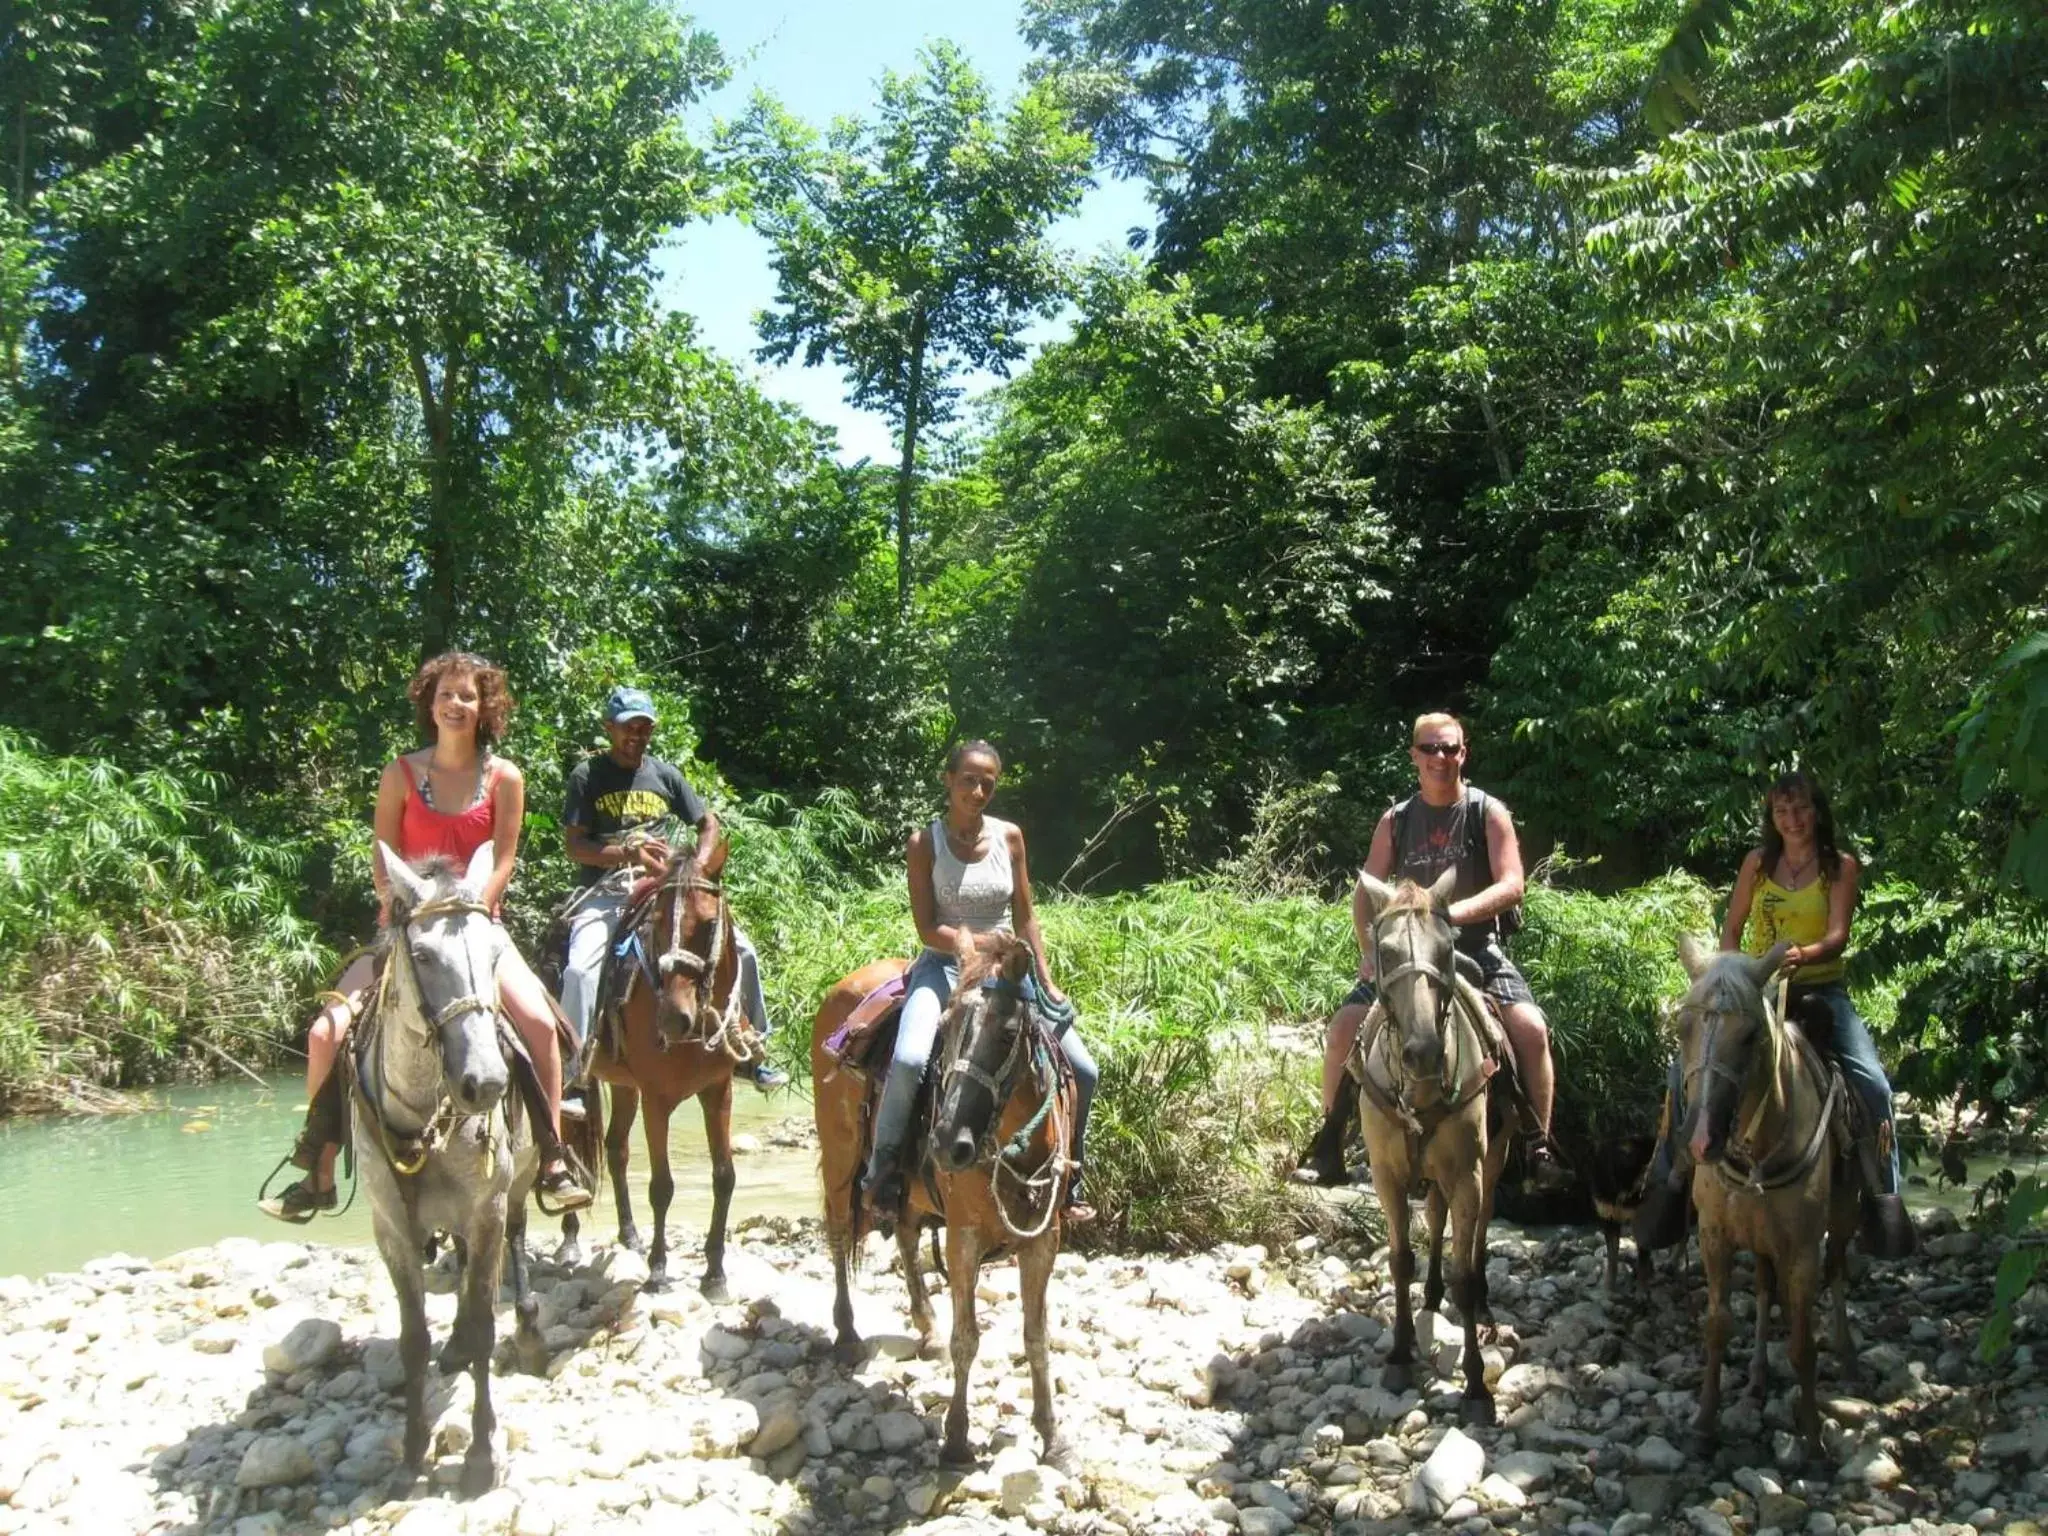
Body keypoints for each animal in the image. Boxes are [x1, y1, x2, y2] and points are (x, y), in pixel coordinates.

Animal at [585, 843, 753, 1302]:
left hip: (624, 1087)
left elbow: (725, 1177)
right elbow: (662, 1187)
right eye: (655, 923)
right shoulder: (656, 1098)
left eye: (710, 923)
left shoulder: (718, 1090)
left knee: (616, 1149)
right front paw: (658, 1271)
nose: (674, 1019)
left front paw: (715, 1274)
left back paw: (629, 1233)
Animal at [806, 933, 1081, 1474]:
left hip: (905, 1188)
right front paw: (955, 1440)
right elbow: (967, 1339)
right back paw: (847, 1335)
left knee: (906, 1234)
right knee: (840, 1232)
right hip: (840, 1157)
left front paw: (1052, 1436)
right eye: (945, 1028)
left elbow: (1036, 1336)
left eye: (1009, 1033)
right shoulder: (963, 1238)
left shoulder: (1045, 1239)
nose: (948, 1143)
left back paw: (926, 1329)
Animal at [1351, 872, 1515, 1425]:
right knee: (1437, 1217)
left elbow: (1465, 1268)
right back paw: (1430, 1296)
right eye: (1385, 951)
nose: (1422, 1052)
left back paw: (1482, 1307)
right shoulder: (1386, 1175)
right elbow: (1401, 1260)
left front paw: (1476, 1385)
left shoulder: (1467, 1174)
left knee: (1480, 1227)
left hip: (1495, 1159)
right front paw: (1401, 1354)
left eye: (1446, 950)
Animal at [1679, 937, 1859, 1466]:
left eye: (1751, 1035)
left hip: (1844, 1216)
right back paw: (1758, 1377)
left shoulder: (1802, 1248)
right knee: (1762, 1289)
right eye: (1682, 1029)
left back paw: (1847, 1354)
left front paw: (1814, 1440)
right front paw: (1704, 1423)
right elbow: (1718, 1326)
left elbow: (1802, 1345)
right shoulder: (1714, 1237)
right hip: (1760, 1241)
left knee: (1837, 1271)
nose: (1701, 1141)